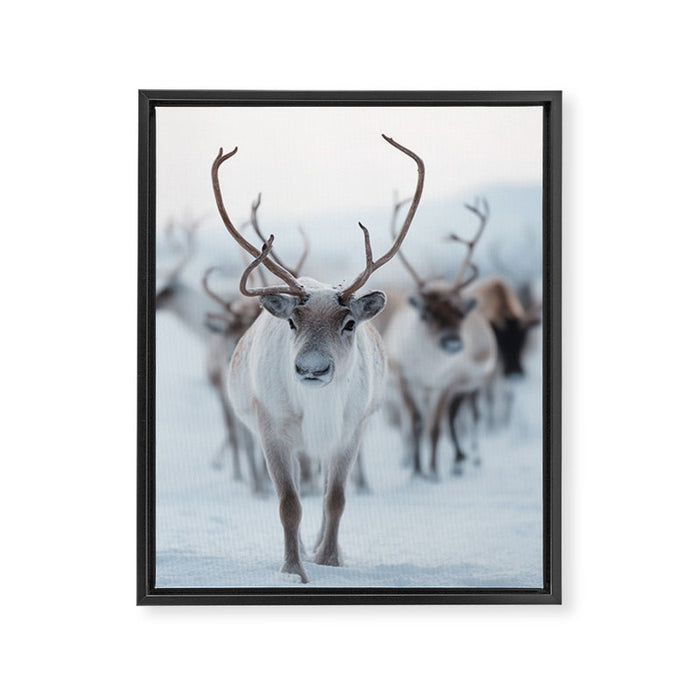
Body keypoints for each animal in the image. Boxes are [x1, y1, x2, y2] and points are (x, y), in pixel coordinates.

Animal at [211, 134, 424, 583]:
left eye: (350, 323)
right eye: (293, 321)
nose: (312, 369)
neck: (317, 407)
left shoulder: (349, 431)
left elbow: (336, 498)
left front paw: (329, 560)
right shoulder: (271, 429)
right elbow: (289, 504)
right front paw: (293, 568)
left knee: (328, 493)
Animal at [383, 197, 497, 479]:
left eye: (461, 313)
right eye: (427, 313)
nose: (453, 342)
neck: (429, 367)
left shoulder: (444, 384)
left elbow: (435, 427)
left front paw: (433, 471)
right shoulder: (404, 380)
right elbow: (415, 423)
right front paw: (416, 471)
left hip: (464, 386)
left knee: (461, 417)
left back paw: (464, 458)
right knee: (410, 424)